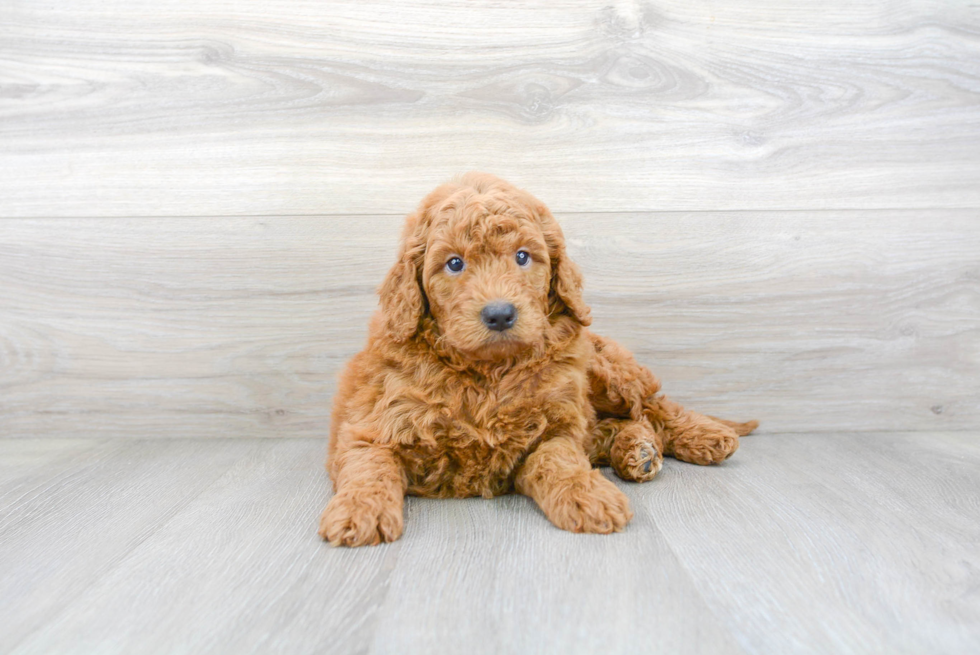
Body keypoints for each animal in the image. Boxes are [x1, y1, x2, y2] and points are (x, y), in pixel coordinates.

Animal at [322, 174, 756, 548]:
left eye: (522, 256)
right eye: (455, 263)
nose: (499, 314)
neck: (488, 373)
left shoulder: (556, 426)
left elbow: (559, 459)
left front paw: (587, 495)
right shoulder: (370, 427)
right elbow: (369, 467)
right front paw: (359, 513)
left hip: (605, 369)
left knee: (651, 406)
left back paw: (705, 436)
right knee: (618, 425)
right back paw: (637, 450)